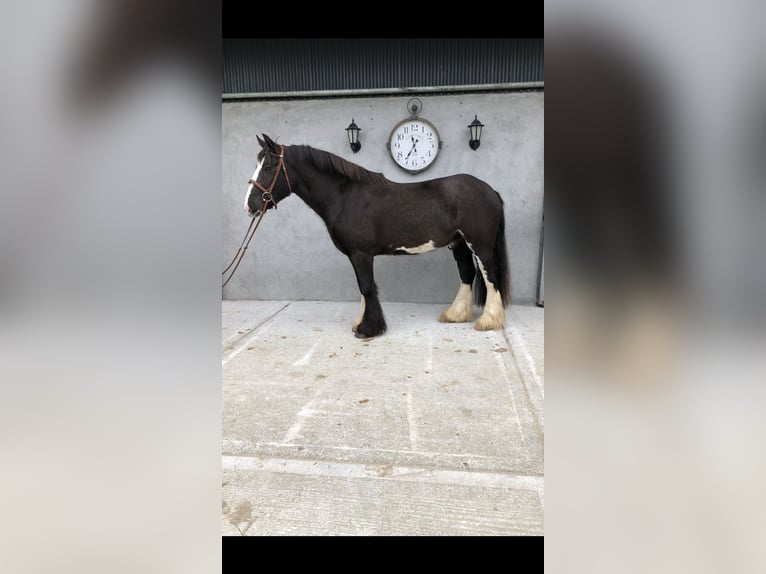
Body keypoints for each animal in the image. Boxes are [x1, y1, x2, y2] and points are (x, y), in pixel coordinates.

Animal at [244, 134, 510, 342]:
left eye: (268, 167)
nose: (250, 205)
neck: (346, 196)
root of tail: (491, 191)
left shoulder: (362, 254)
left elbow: (367, 286)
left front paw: (368, 329)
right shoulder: (354, 254)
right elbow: (363, 288)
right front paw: (361, 323)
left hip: (480, 244)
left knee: (490, 275)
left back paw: (489, 321)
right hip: (459, 244)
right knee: (467, 274)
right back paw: (455, 315)